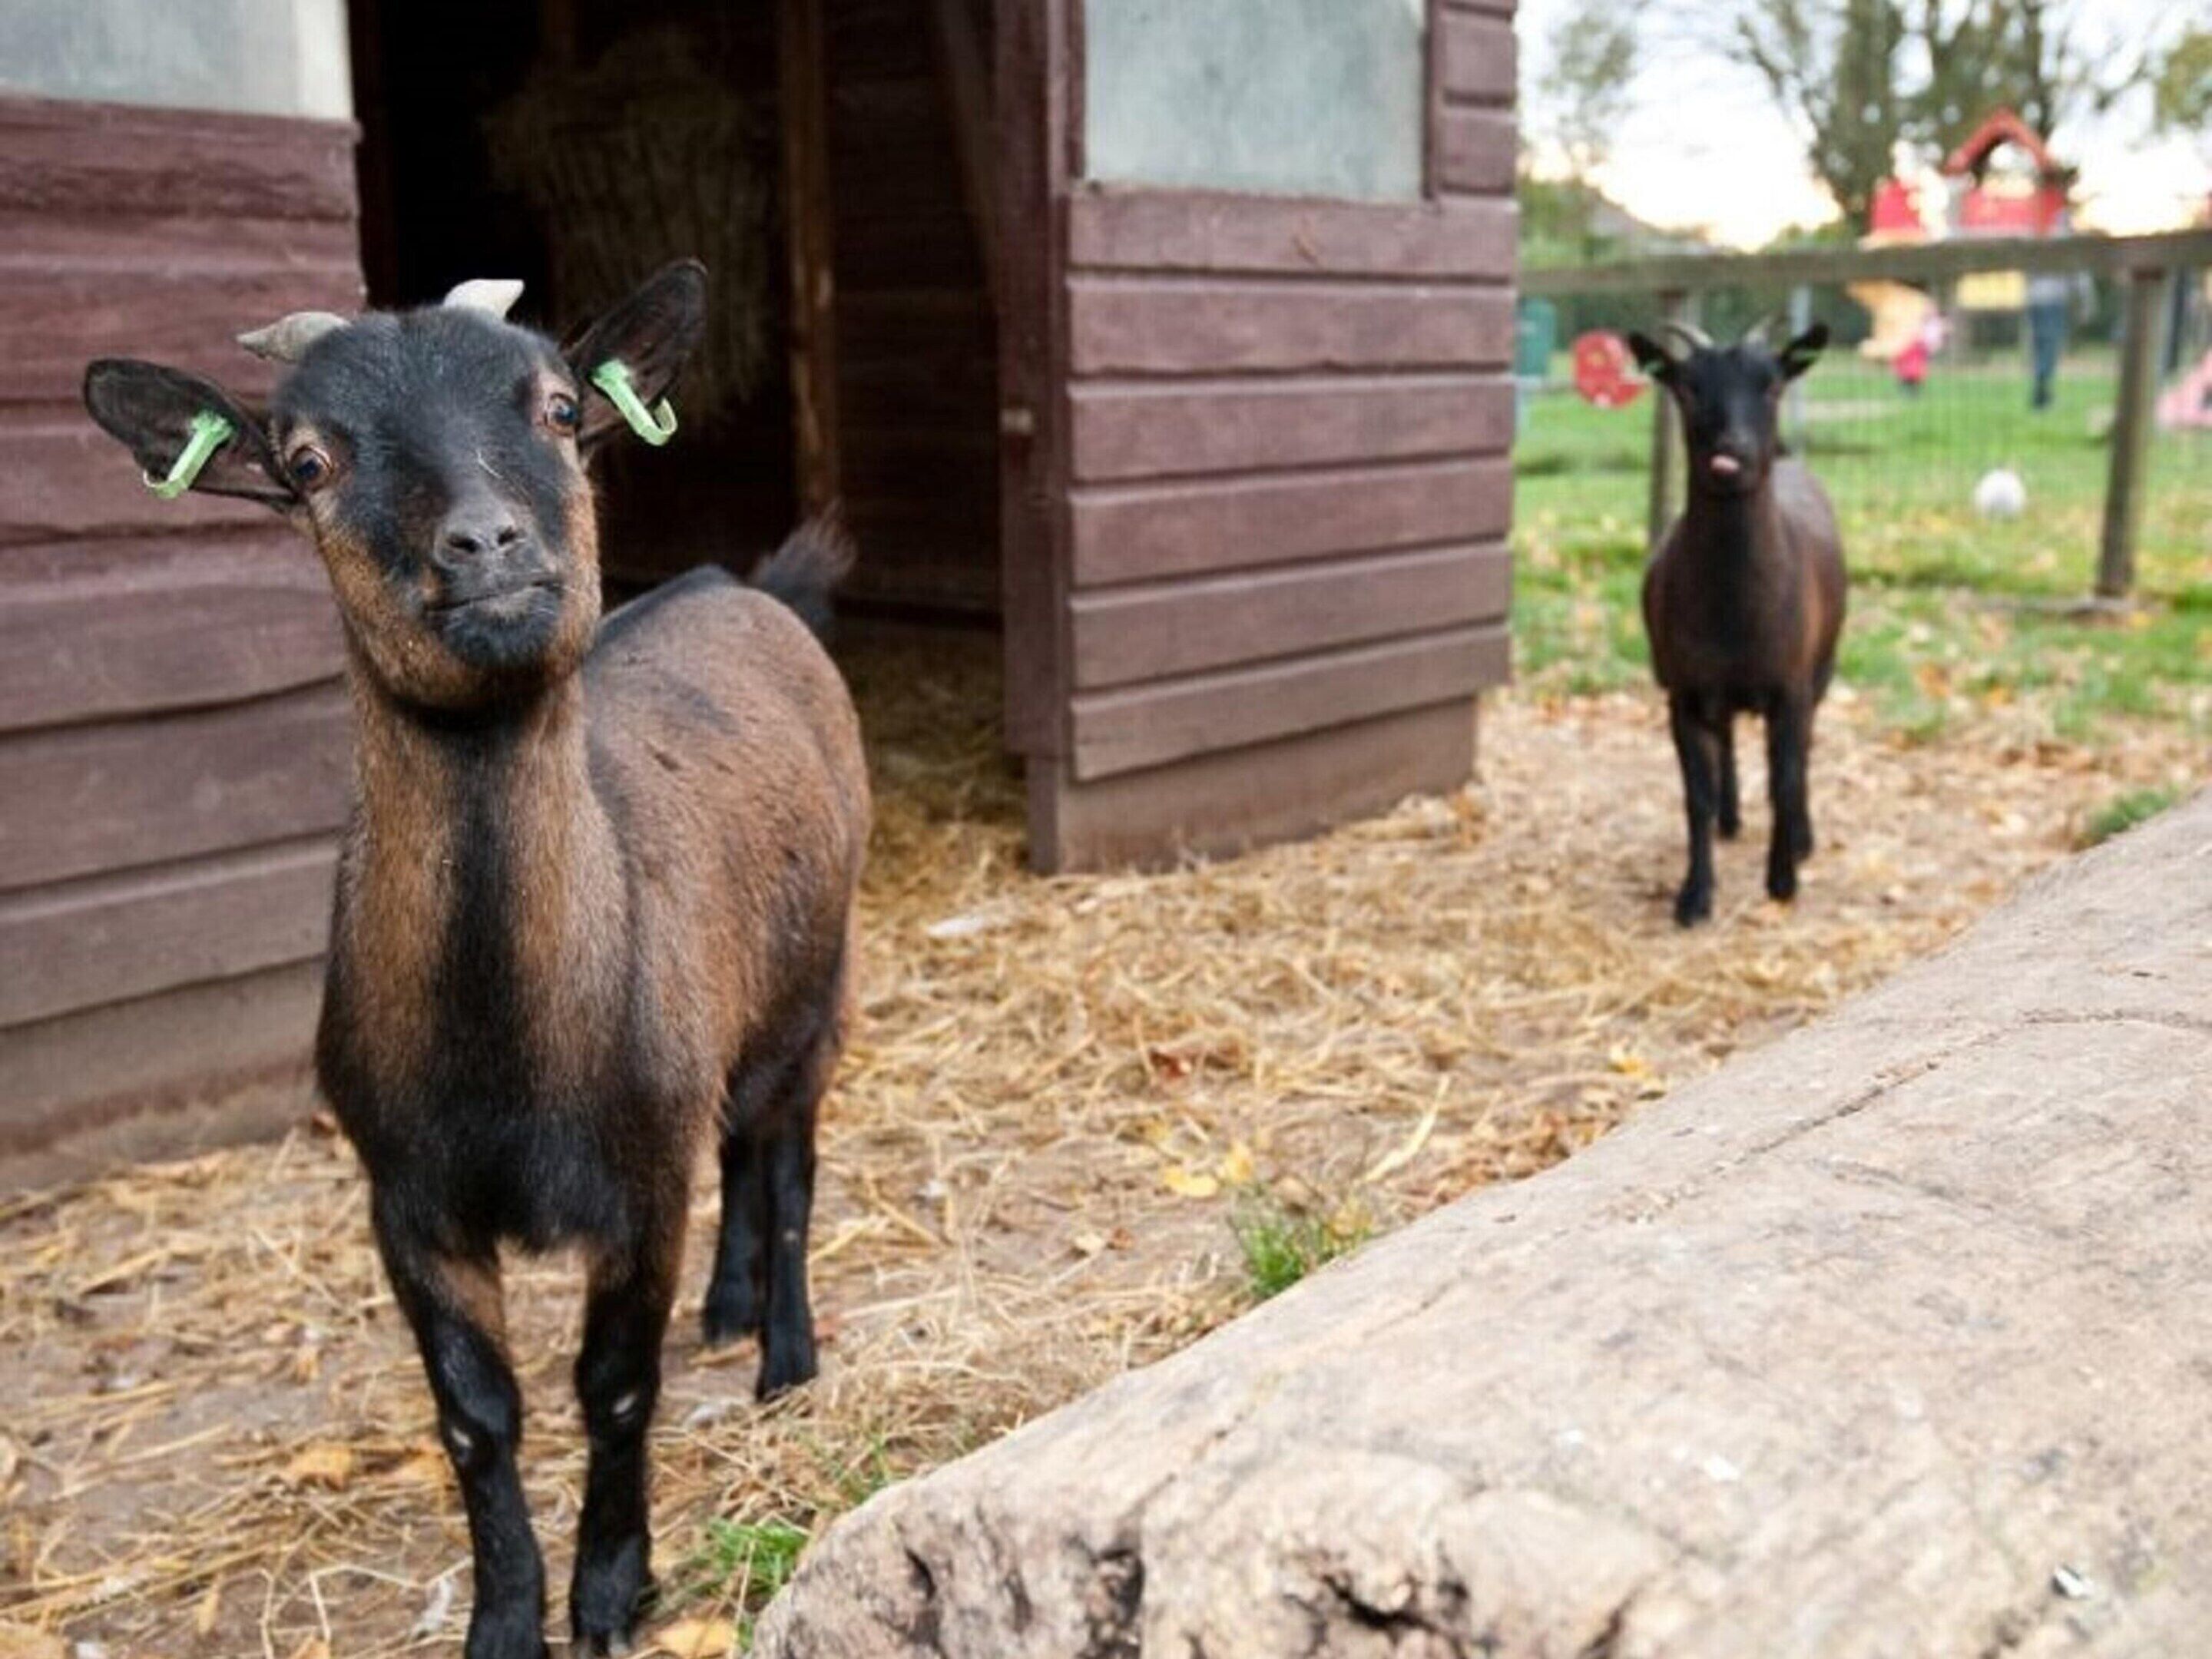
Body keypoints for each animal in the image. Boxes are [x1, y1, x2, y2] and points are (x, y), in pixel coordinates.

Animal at [82, 262, 870, 1659]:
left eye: (559, 407)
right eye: (308, 459)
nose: (489, 545)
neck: (510, 1053)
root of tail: (749, 587)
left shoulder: (636, 1182)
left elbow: (615, 1388)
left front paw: (609, 1591)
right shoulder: (409, 1200)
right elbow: (476, 1416)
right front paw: (506, 1616)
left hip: (815, 988)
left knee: (786, 1168)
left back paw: (784, 1355)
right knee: (738, 1144)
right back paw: (729, 1308)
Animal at [1626, 320, 1847, 927]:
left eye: (1771, 384)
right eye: (1687, 386)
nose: (1733, 457)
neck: (1734, 616)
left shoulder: (1791, 687)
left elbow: (1785, 779)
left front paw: (1782, 879)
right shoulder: (1683, 692)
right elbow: (1695, 796)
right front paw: (1694, 896)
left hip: (1822, 666)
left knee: (1805, 752)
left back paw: (1802, 837)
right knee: (1726, 740)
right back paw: (1730, 820)